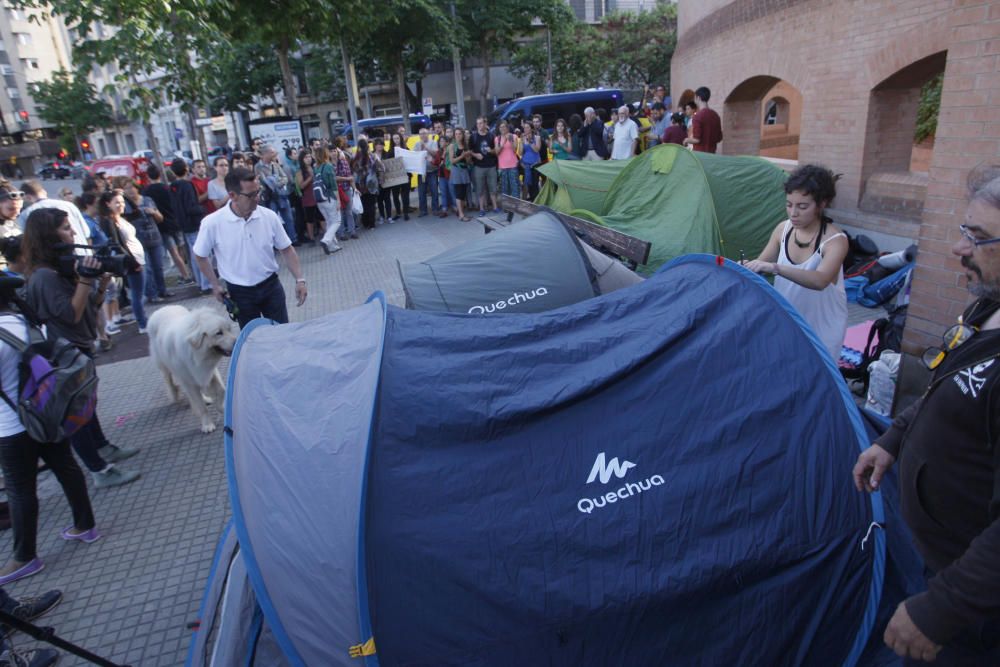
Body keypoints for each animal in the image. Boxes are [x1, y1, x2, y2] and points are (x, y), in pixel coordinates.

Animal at [147, 306, 237, 434]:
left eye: (229, 329)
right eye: (219, 333)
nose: (237, 340)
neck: (196, 353)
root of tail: (162, 309)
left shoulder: (208, 371)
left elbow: (222, 390)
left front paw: (221, 409)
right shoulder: (187, 380)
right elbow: (201, 406)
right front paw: (207, 424)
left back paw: (205, 398)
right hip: (164, 364)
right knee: (169, 380)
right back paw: (174, 394)